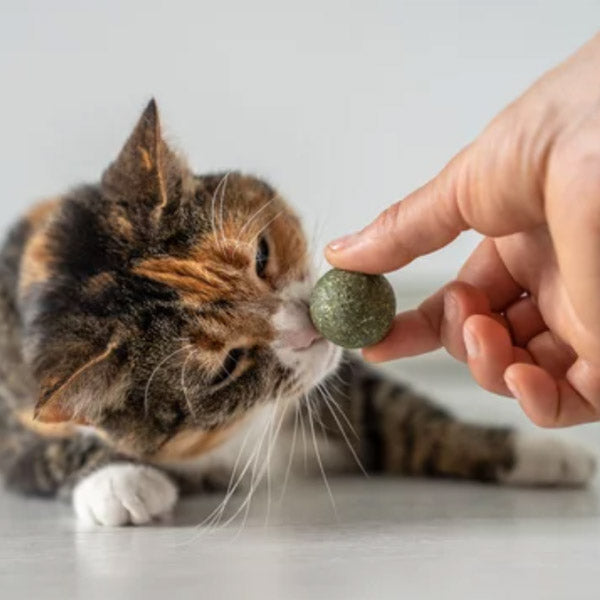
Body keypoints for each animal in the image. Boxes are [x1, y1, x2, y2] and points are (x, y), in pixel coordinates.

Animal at [0, 102, 592, 524]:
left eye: (261, 256)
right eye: (227, 366)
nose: (310, 329)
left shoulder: (346, 384)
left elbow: (407, 419)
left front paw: (541, 452)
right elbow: (48, 453)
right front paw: (120, 483)